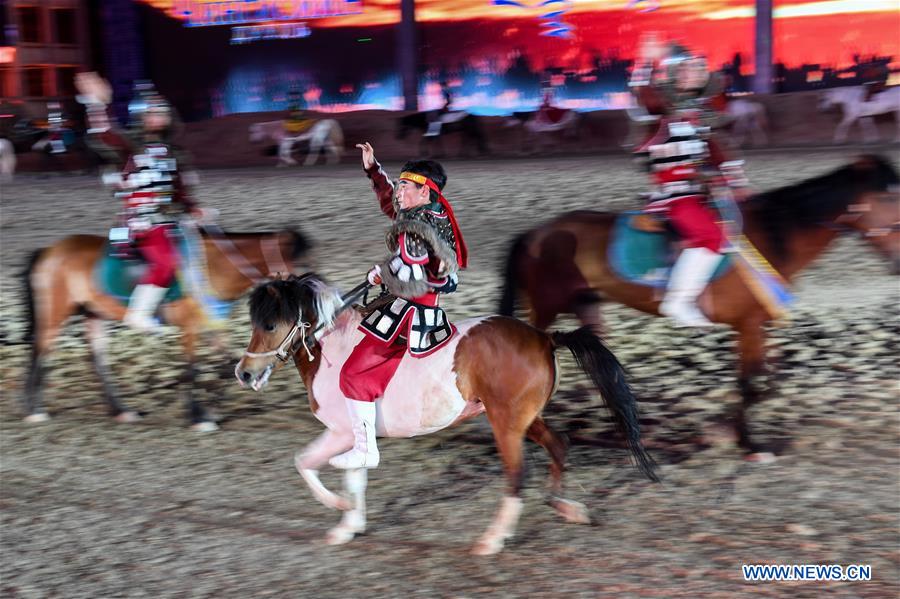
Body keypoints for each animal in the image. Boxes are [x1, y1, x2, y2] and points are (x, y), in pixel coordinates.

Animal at [20, 227, 312, 428]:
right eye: (298, 276)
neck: (214, 265)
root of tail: (49, 250)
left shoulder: (210, 326)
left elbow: (228, 362)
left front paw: (212, 411)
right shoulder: (190, 327)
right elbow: (192, 368)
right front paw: (197, 417)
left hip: (94, 314)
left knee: (97, 360)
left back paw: (121, 411)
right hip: (56, 313)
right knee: (41, 350)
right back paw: (33, 411)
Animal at [232, 276, 652, 556]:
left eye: (270, 324)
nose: (244, 374)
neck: (334, 348)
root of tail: (543, 337)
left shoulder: (341, 432)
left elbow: (307, 463)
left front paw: (340, 509)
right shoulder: (353, 435)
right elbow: (351, 476)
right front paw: (348, 526)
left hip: (506, 424)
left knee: (517, 475)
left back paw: (492, 539)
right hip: (527, 420)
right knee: (559, 446)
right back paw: (567, 508)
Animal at [500, 156, 900, 460]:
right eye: (890, 199)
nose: (897, 262)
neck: (773, 235)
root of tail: (535, 233)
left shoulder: (758, 325)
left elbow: (764, 382)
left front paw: (734, 432)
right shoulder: (748, 324)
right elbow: (749, 384)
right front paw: (745, 442)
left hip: (586, 305)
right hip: (547, 306)